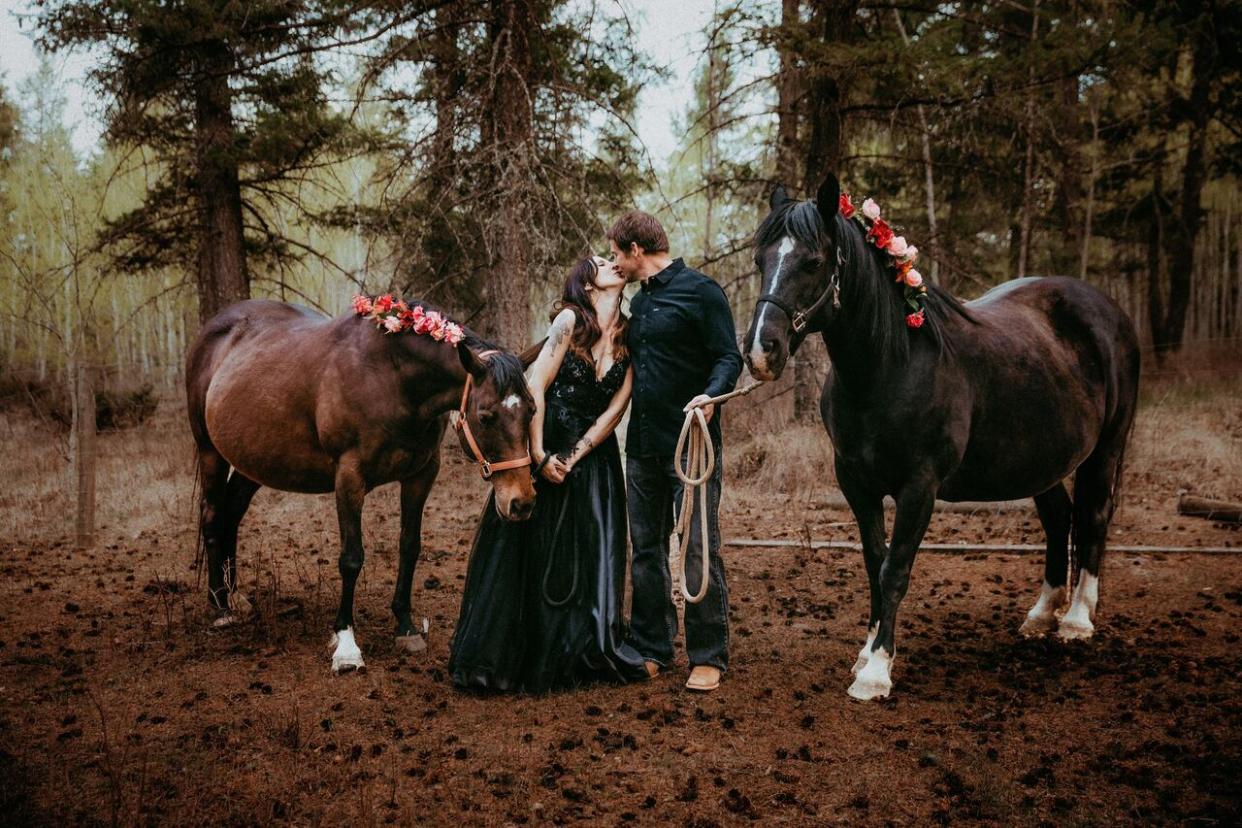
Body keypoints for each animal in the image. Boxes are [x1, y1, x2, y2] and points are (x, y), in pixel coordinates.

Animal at [186, 297, 536, 675]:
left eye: (531, 411)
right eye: (485, 416)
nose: (521, 502)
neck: (391, 379)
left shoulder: (421, 475)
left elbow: (410, 546)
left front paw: (406, 628)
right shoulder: (349, 477)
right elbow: (351, 559)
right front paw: (346, 645)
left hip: (255, 461)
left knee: (231, 518)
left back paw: (235, 596)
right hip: (210, 452)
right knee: (212, 517)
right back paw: (220, 607)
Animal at [740, 178, 1137, 705]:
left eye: (814, 261)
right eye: (760, 260)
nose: (761, 351)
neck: (892, 366)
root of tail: (1109, 310)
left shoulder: (918, 488)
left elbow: (895, 570)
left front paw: (876, 672)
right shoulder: (856, 485)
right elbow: (875, 562)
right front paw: (868, 652)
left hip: (1105, 449)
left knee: (1093, 517)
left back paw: (1076, 619)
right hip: (1041, 462)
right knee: (1060, 520)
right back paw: (1040, 615)